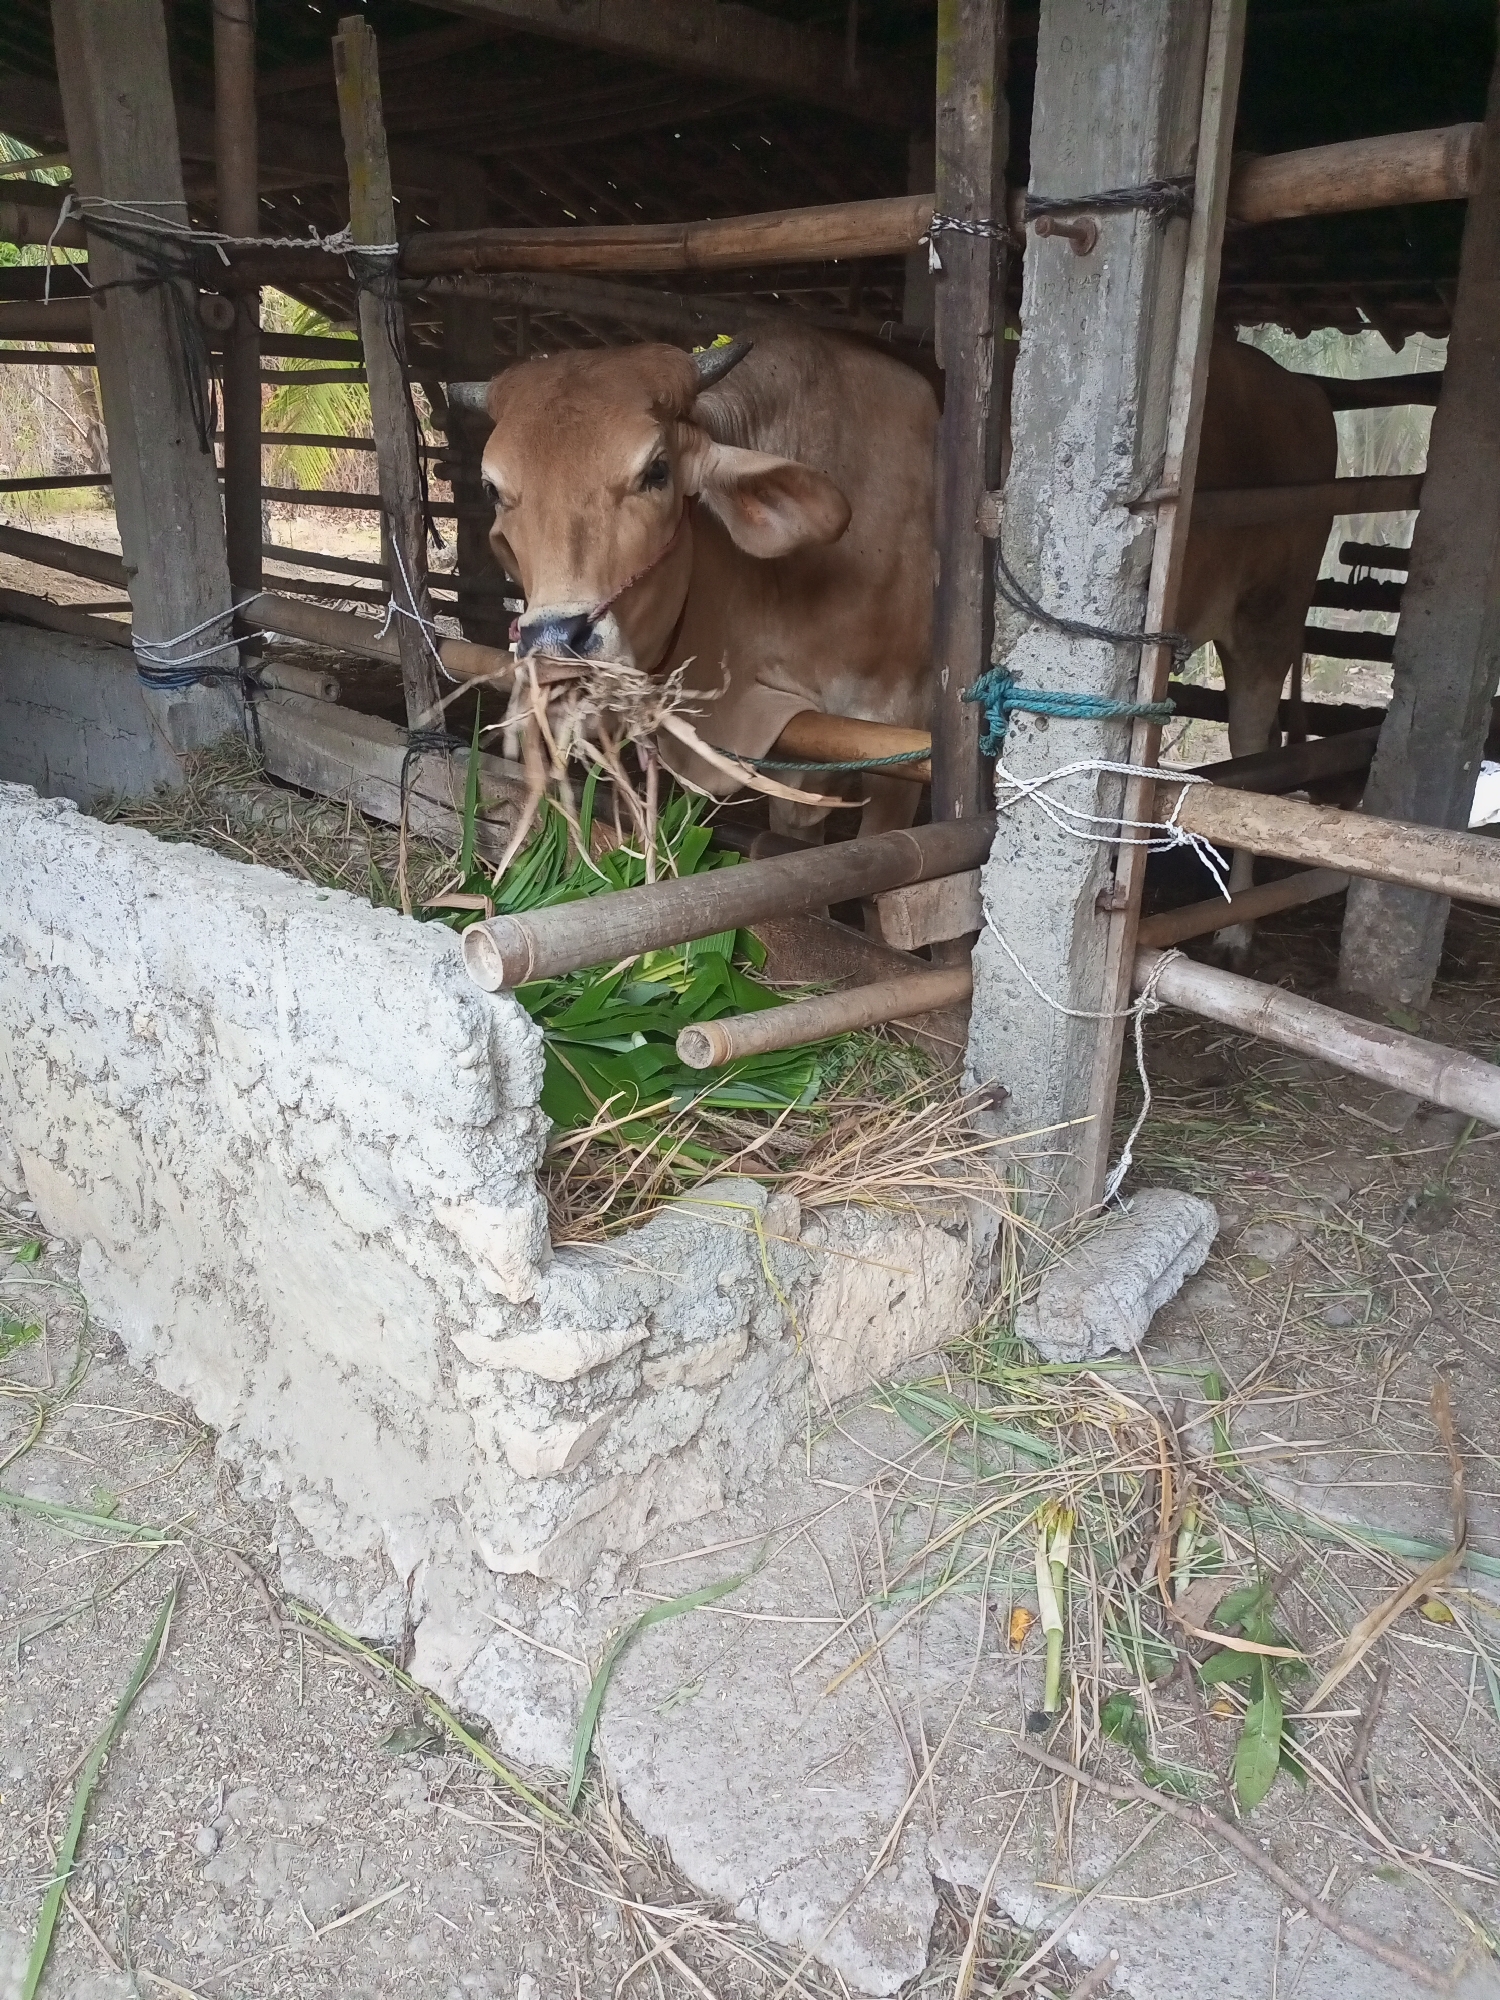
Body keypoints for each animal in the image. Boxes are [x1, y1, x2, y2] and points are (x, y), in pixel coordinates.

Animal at [475, 324, 1336, 899]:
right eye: (494, 487)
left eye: (655, 471)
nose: (558, 640)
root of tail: (1298, 387)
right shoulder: (798, 736)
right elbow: (795, 845)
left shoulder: (898, 727)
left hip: (1267, 622)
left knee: (1255, 739)